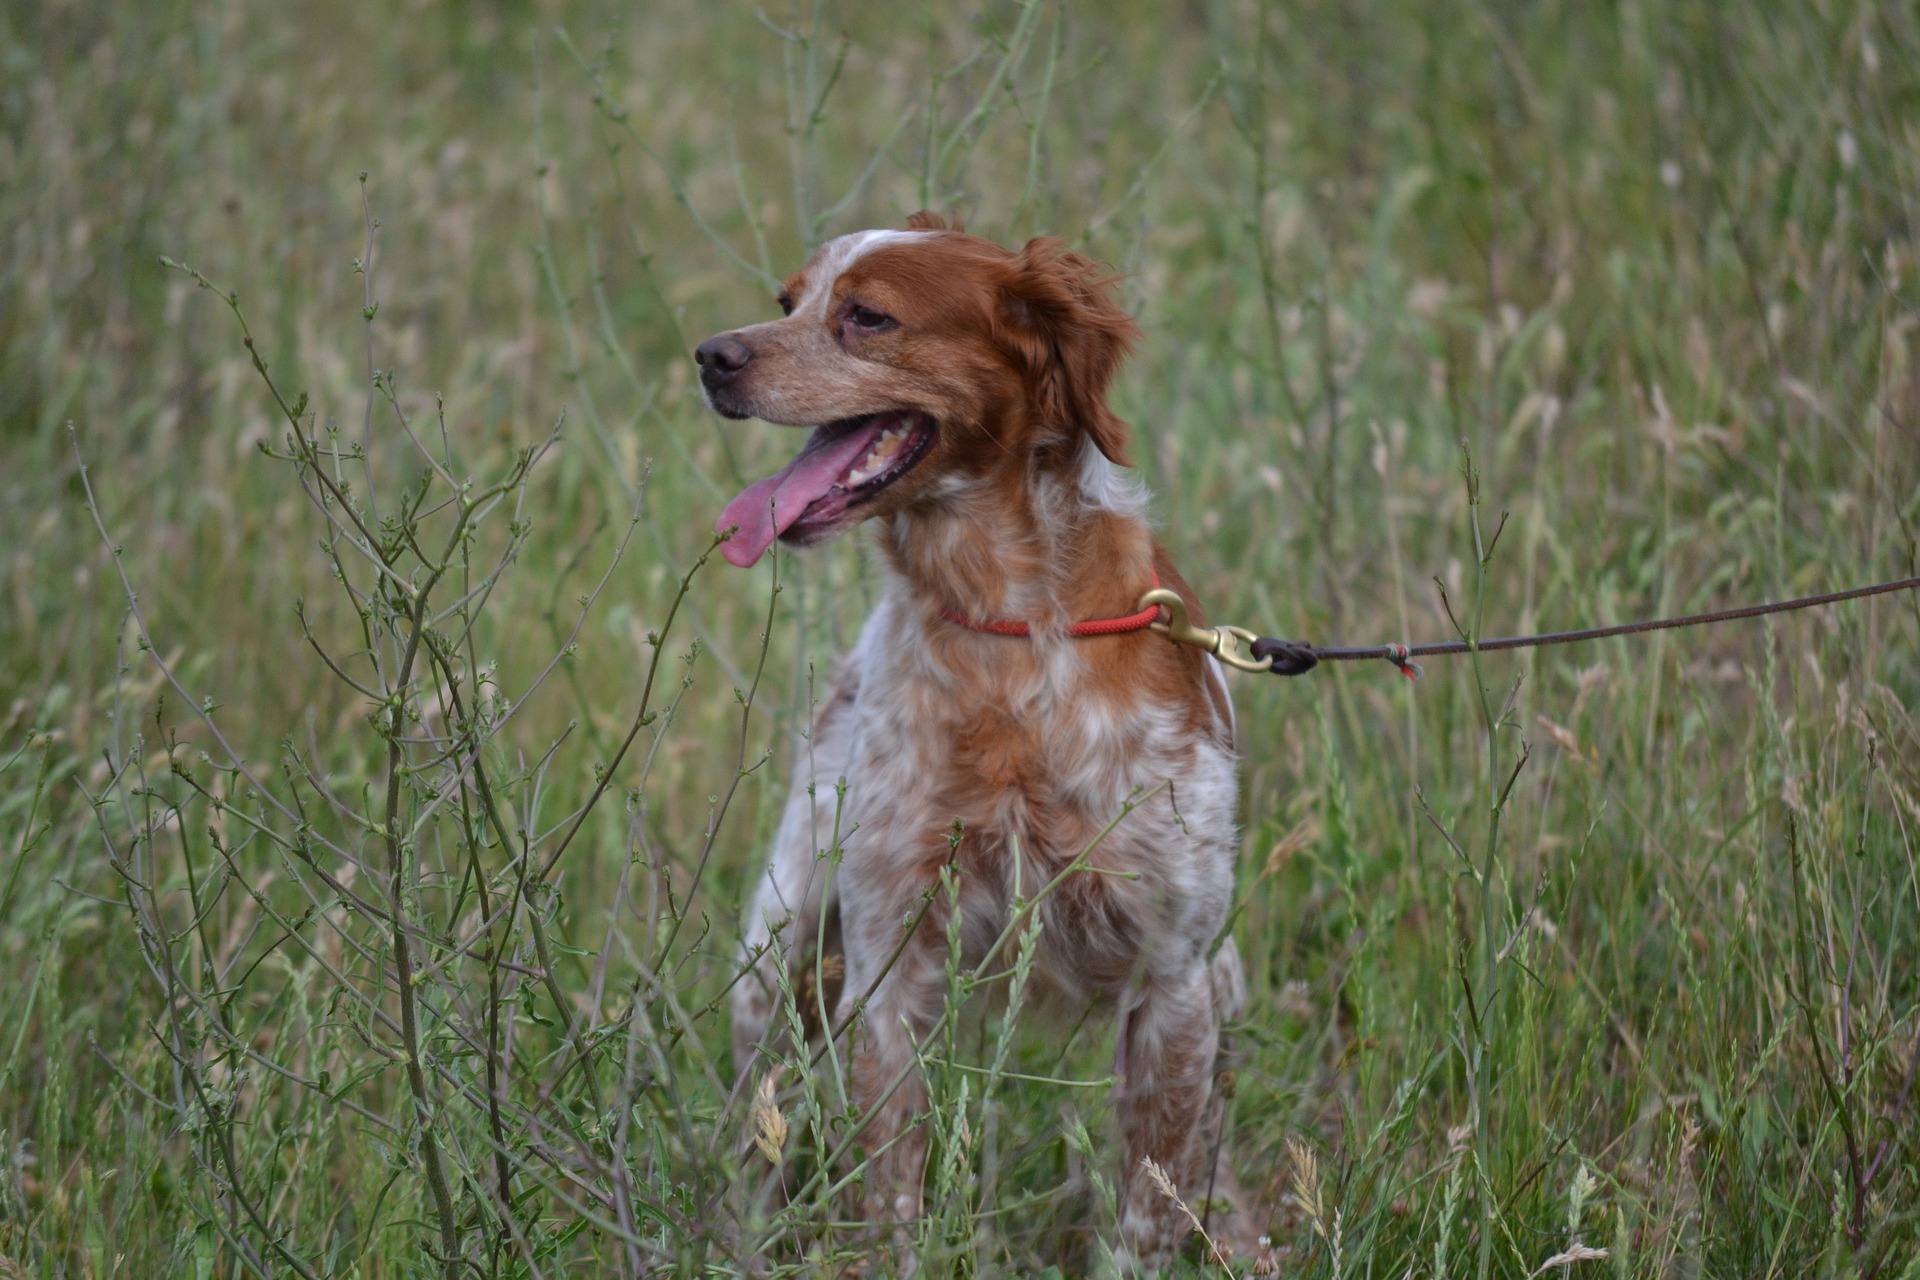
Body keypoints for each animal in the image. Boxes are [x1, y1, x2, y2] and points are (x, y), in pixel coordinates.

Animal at [698, 213, 1251, 1274]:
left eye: (867, 315)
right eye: (790, 301)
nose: (709, 355)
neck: (1008, 628)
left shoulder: (1174, 981)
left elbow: (1144, 1214)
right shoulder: (888, 973)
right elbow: (893, 1204)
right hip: (777, 962)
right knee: (755, 1147)